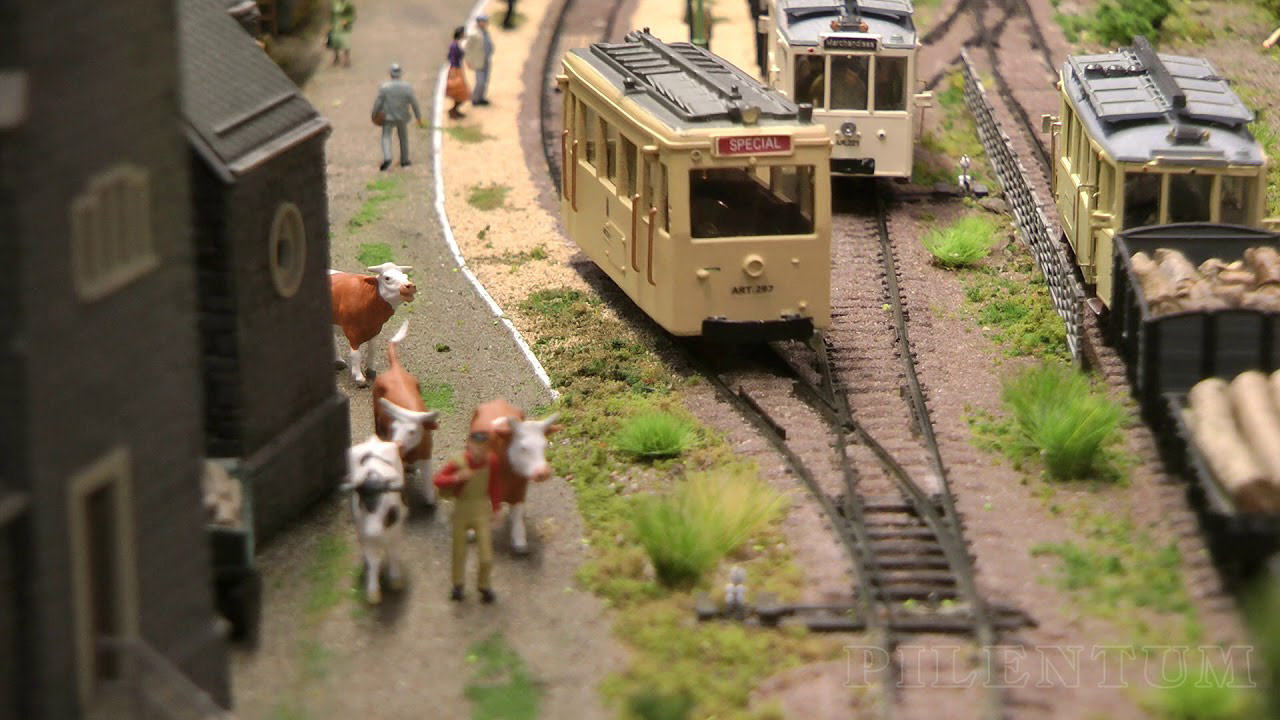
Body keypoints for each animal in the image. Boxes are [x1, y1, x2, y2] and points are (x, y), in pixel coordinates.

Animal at [340, 435, 404, 602]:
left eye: (383, 496)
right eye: (362, 497)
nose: (372, 531)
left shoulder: (396, 532)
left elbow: (393, 553)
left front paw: (395, 580)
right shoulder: (364, 536)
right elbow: (373, 561)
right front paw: (373, 592)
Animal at [373, 319, 442, 504]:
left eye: (412, 431)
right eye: (394, 428)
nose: (397, 445)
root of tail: (395, 369)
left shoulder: (426, 455)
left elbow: (429, 493)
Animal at [473, 394, 563, 550]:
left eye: (544, 446)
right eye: (523, 447)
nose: (542, 473)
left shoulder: (519, 489)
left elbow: (517, 512)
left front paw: (519, 540)